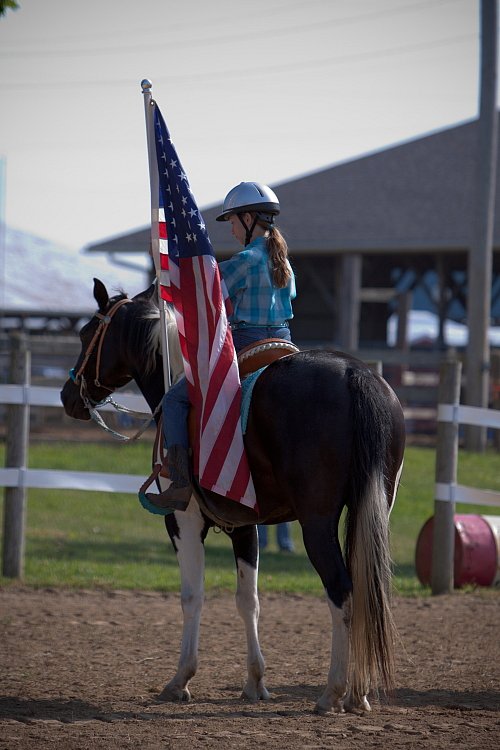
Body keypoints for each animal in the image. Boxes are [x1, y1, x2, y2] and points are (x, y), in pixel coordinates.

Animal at [61, 278, 406, 716]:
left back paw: (333, 691)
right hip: (371, 510)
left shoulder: (184, 520)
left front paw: (180, 680)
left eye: (87, 332)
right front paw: (255, 682)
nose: (68, 396)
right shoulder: (244, 525)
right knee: (365, 589)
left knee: (341, 590)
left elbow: (192, 596)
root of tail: (354, 375)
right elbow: (248, 600)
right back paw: (358, 694)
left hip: (317, 523)